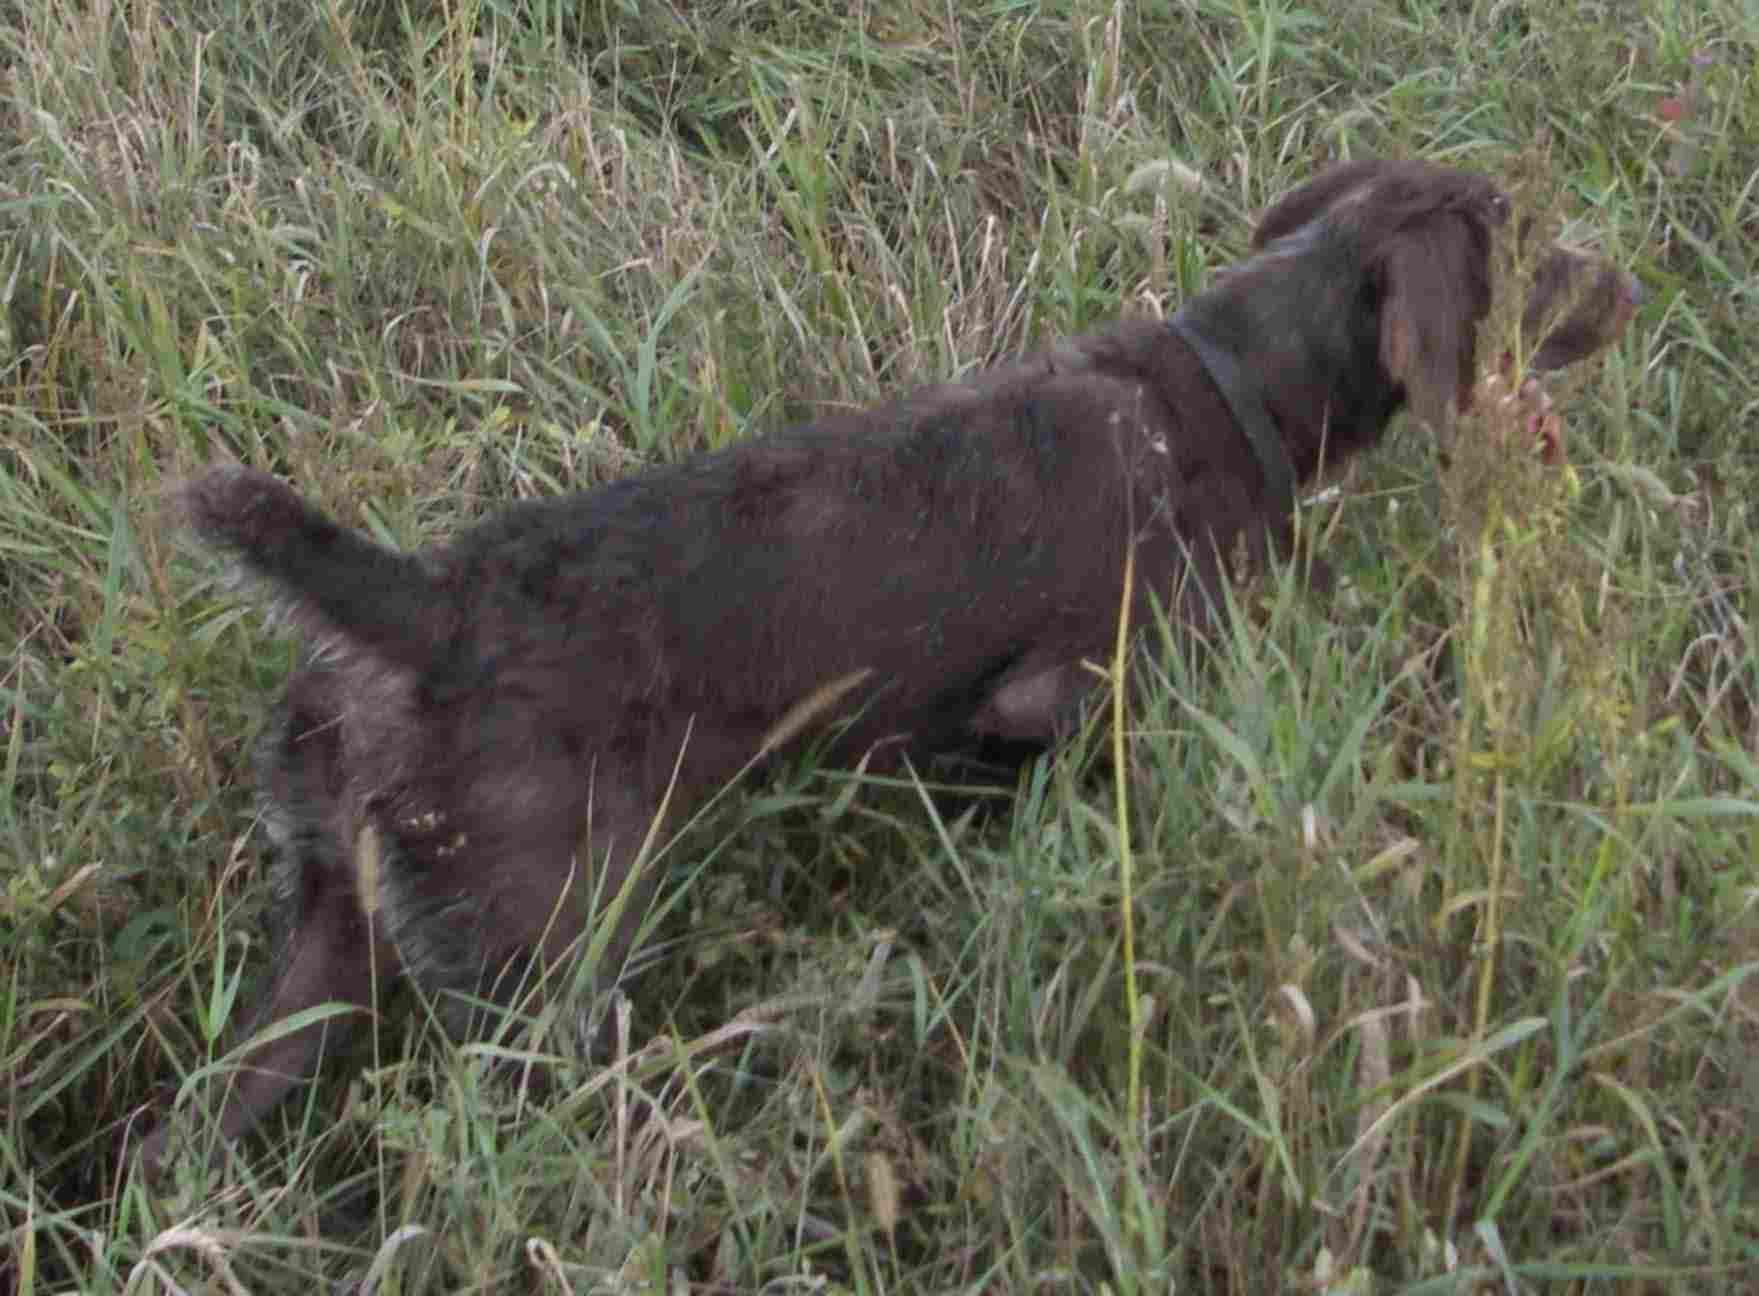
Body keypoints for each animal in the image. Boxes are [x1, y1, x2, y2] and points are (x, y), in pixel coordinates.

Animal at [137, 156, 1632, 1160]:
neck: (1224, 386)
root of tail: (412, 608)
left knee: (189, 1133)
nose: (1633, 280)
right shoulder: (1084, 699)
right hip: (542, 965)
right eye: (1530, 248)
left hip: (326, 949)